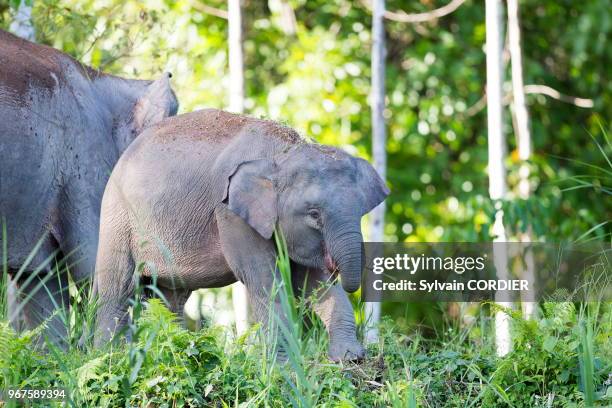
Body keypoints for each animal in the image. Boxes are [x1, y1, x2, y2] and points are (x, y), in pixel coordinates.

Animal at [94, 108, 392, 360]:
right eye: (314, 214)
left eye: (360, 212)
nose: (337, 268)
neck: (282, 153)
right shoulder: (229, 214)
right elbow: (264, 278)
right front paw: (282, 366)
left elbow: (312, 281)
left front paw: (350, 358)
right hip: (117, 219)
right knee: (118, 288)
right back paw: (108, 357)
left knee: (171, 296)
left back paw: (174, 352)